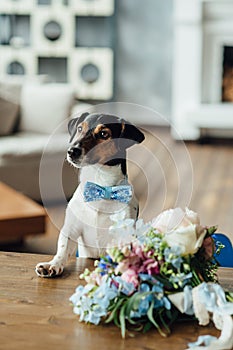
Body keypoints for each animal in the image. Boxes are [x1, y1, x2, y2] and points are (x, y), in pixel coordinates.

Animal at [35, 113, 144, 278]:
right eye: (80, 128)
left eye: (103, 134)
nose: (71, 151)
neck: (101, 187)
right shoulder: (71, 228)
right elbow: (63, 248)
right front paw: (53, 264)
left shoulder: (124, 234)